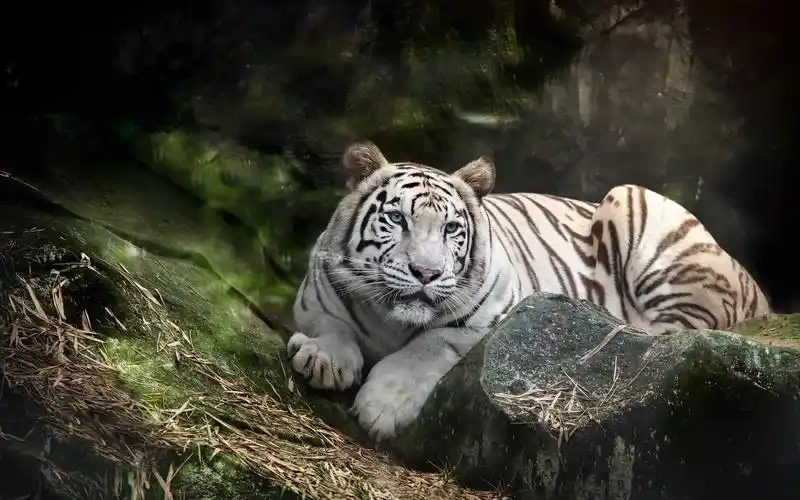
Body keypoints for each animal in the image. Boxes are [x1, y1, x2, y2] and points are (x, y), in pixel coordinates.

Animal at [287, 141, 771, 441]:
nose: (426, 272)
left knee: (672, 335)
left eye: (451, 229)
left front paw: (382, 407)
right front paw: (323, 359)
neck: (391, 319)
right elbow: (330, 324)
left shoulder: (490, 312)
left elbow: (429, 346)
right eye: (397, 219)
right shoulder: (313, 295)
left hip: (642, 211)